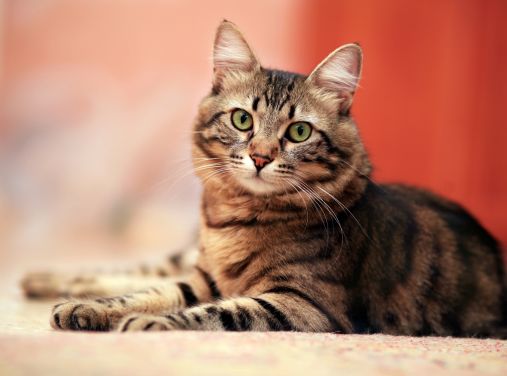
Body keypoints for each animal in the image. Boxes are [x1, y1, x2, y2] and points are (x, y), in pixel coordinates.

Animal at [21, 19, 506, 338]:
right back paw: (46, 281)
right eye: (242, 120)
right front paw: (91, 309)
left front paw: (147, 323)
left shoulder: (305, 304)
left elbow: (212, 312)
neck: (234, 220)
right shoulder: (206, 278)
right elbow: (151, 291)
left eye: (299, 132)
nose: (259, 156)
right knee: (146, 267)